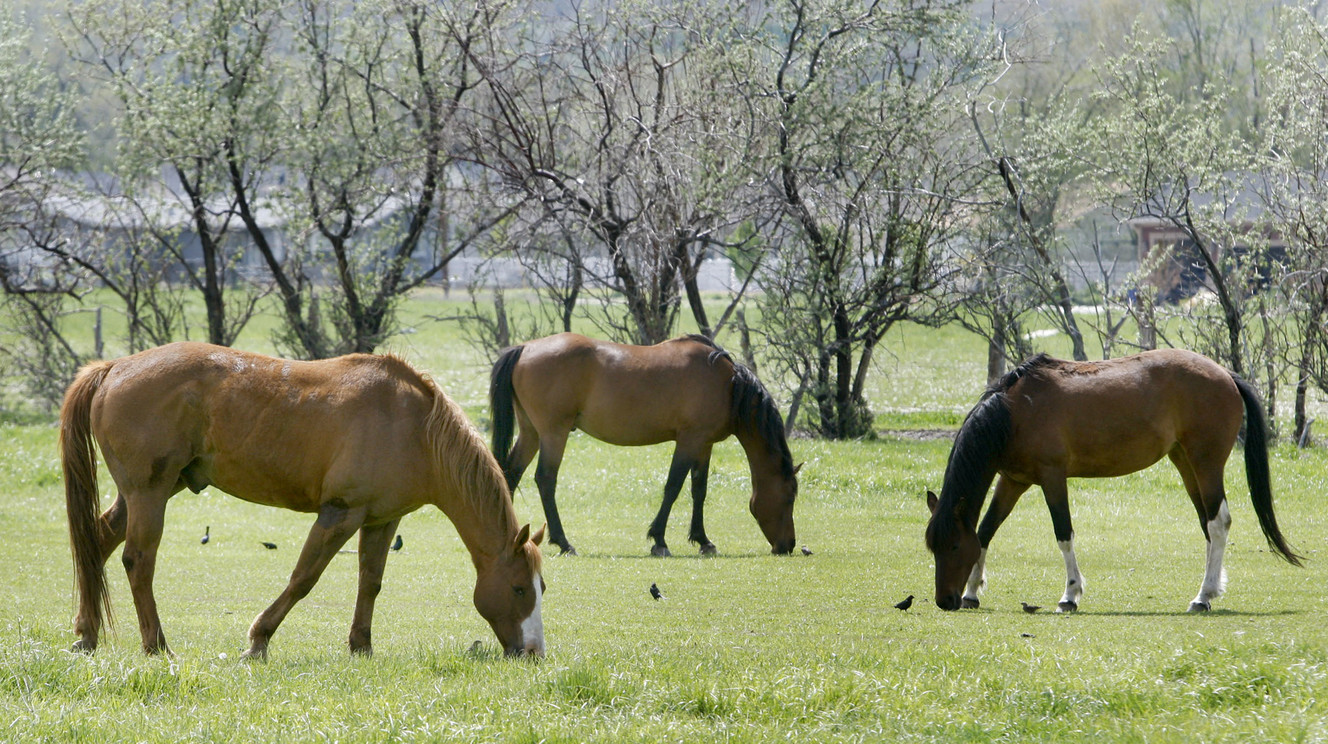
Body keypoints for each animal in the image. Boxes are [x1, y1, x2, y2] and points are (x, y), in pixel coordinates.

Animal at [59, 342, 547, 656]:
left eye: (542, 588)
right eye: (519, 588)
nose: (533, 652)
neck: (414, 427)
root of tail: (113, 368)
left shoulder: (380, 520)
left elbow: (370, 582)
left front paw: (361, 646)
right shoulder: (339, 515)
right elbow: (303, 578)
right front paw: (258, 640)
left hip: (149, 491)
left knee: (97, 544)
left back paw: (87, 635)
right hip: (150, 493)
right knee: (137, 560)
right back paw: (156, 645)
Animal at [488, 334, 796, 555]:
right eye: (790, 496)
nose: (788, 546)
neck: (728, 385)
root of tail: (524, 348)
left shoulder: (704, 444)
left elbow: (699, 490)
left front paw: (703, 540)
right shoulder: (689, 440)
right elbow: (673, 486)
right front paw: (659, 540)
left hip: (531, 433)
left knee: (510, 474)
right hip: (554, 433)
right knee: (545, 479)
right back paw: (563, 542)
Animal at [924, 350, 1296, 613]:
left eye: (953, 546)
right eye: (933, 546)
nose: (945, 600)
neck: (1015, 412)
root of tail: (1225, 374)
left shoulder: (1052, 478)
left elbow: (1063, 534)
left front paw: (1070, 595)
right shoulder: (1013, 481)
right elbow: (986, 531)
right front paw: (972, 592)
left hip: (1206, 464)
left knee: (1218, 523)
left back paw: (1202, 597)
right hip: (1186, 464)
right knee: (1208, 523)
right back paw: (1210, 590)